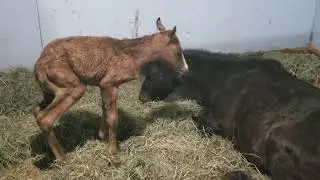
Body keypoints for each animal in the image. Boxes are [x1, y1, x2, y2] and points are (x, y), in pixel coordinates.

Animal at [33, 17, 188, 160]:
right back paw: (62, 158)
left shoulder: (102, 85)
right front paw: (113, 151)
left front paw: (103, 137)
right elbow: (113, 117)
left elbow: (104, 109)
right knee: (45, 118)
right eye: (178, 50)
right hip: (73, 86)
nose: (185, 68)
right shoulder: (110, 83)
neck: (133, 56)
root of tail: (39, 66)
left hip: (49, 91)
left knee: (37, 109)